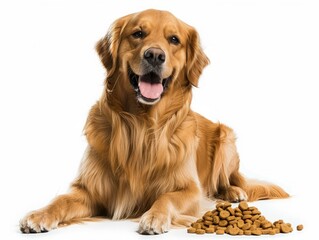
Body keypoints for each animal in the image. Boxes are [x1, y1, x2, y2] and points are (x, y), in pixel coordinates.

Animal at [20, 8, 290, 234]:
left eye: (174, 40)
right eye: (138, 34)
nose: (154, 55)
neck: (142, 126)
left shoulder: (191, 190)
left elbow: (167, 197)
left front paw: (154, 216)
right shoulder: (88, 189)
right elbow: (61, 199)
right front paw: (39, 214)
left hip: (226, 138)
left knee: (229, 179)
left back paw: (235, 191)